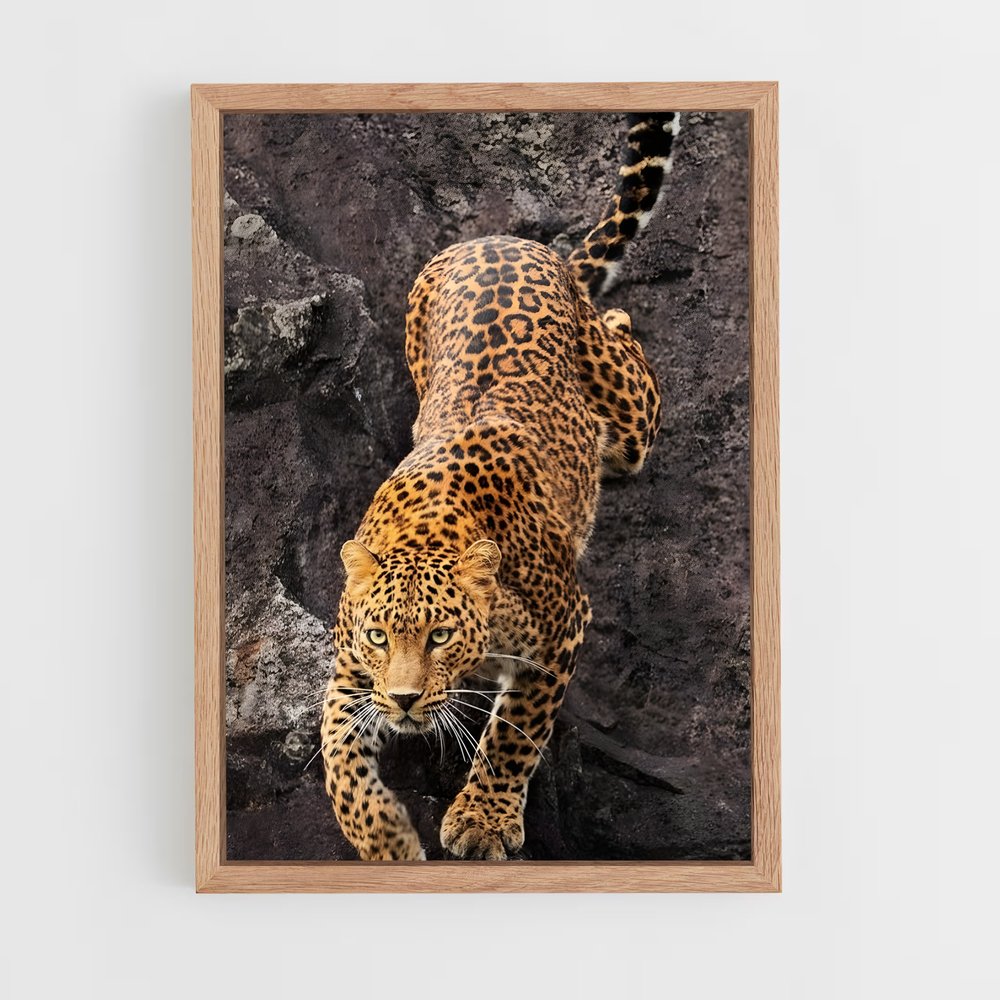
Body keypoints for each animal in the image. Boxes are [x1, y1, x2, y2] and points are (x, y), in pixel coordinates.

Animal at [321, 112, 680, 860]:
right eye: (380, 637)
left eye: (440, 636)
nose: (404, 702)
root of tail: (502, 237)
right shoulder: (349, 667)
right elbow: (339, 754)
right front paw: (386, 841)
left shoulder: (560, 629)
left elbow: (517, 729)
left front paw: (481, 820)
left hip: (629, 413)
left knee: (623, 346)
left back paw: (616, 322)